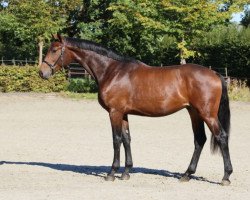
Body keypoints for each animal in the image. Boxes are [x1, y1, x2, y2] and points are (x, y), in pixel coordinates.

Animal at [39, 34, 232, 186]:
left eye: (54, 50)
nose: (42, 73)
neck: (112, 71)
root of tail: (215, 74)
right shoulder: (123, 113)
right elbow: (127, 139)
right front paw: (126, 172)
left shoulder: (114, 112)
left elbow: (116, 140)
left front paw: (112, 173)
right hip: (194, 113)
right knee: (199, 140)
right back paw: (186, 175)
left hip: (207, 114)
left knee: (221, 137)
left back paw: (226, 176)